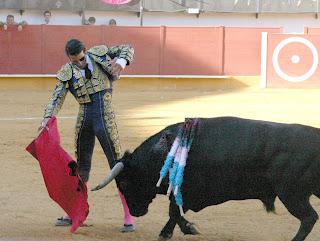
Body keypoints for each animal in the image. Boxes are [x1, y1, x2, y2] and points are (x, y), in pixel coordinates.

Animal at [92, 116, 320, 239]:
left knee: (309, 218)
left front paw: (184, 230)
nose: (135, 212)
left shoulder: (188, 193)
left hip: (292, 194)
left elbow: (174, 211)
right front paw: (172, 232)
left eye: (124, 183)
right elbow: (174, 212)